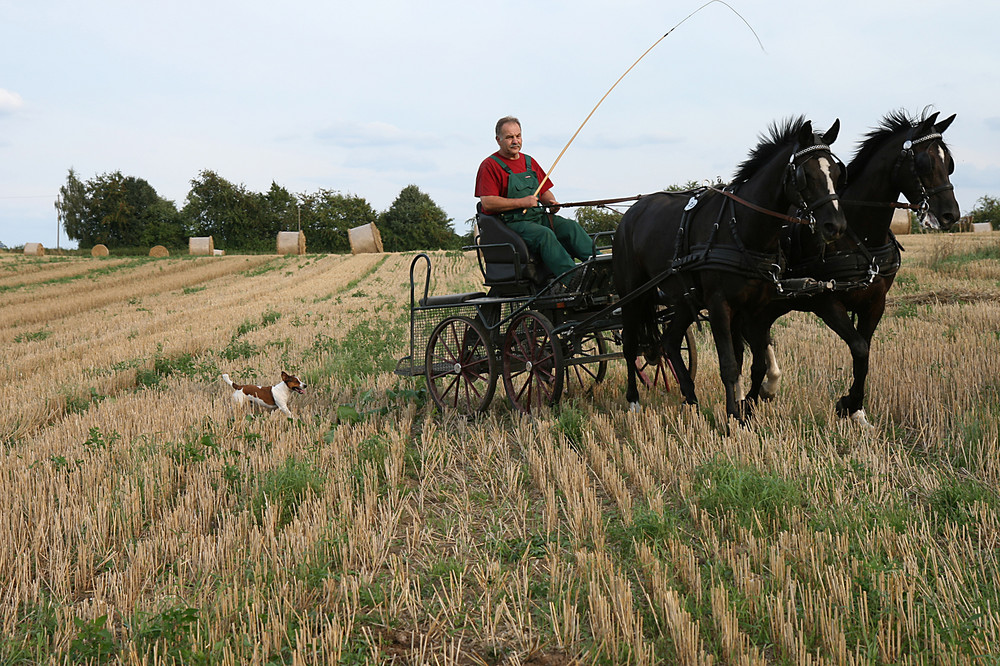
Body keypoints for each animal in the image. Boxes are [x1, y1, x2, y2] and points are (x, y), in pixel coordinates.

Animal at [612, 118, 848, 420]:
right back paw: (633, 400)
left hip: (684, 299)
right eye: (805, 174)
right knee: (630, 345)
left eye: (837, 172)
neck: (742, 228)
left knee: (670, 341)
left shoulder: (756, 308)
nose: (836, 226)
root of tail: (630, 213)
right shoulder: (719, 305)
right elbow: (729, 365)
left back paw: (690, 398)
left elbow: (756, 363)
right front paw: (733, 416)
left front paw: (747, 409)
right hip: (632, 294)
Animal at [744, 109, 960, 426]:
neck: (859, 235)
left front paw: (857, 410)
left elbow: (865, 353)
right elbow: (858, 347)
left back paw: (768, 385)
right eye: (924, 161)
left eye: (949, 162)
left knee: (758, 335)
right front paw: (847, 403)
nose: (950, 215)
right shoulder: (826, 301)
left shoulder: (875, 302)